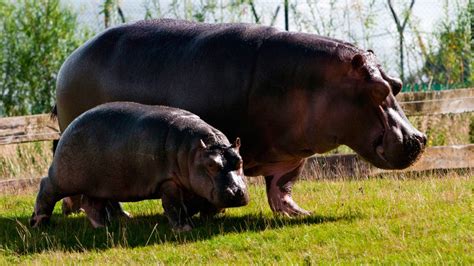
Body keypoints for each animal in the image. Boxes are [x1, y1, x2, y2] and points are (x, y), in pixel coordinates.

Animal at [30, 102, 250, 231]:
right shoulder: (168, 182)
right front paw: (185, 228)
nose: (237, 192)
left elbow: (191, 203)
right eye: (211, 165)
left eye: (240, 160)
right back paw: (39, 223)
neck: (194, 151)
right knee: (46, 188)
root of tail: (68, 127)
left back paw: (105, 226)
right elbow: (174, 205)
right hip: (64, 177)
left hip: (99, 185)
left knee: (91, 204)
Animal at [54, 19, 426, 218]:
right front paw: (207, 212)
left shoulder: (293, 155)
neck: (309, 81)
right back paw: (120, 216)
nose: (418, 139)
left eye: (396, 84)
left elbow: (282, 186)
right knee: (100, 190)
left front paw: (299, 213)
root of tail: (68, 61)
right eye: (378, 89)